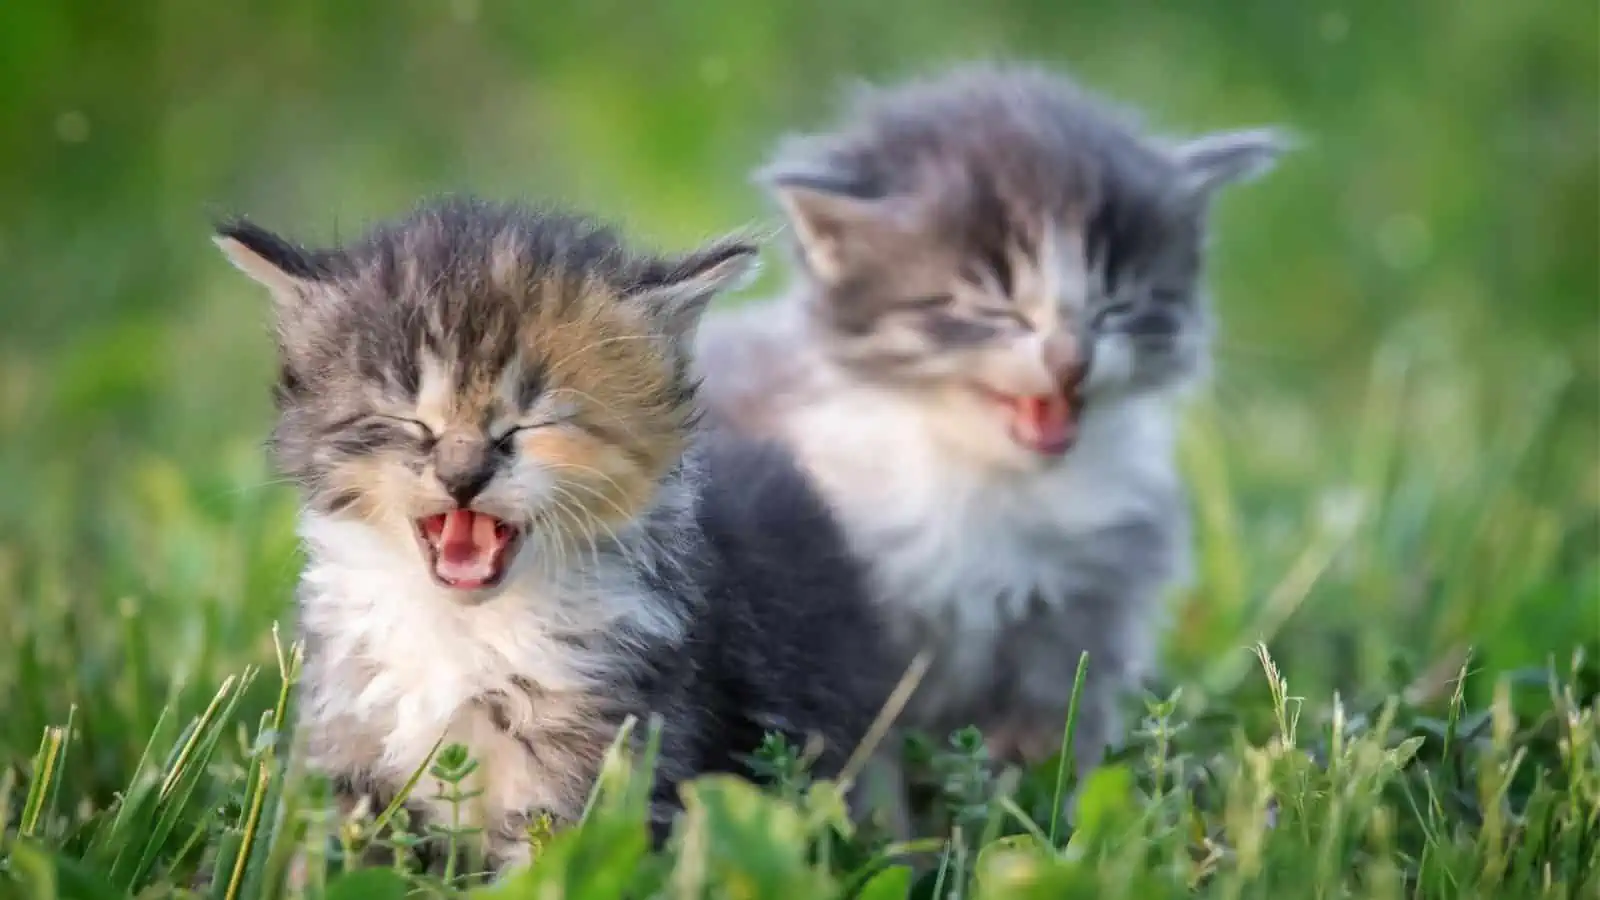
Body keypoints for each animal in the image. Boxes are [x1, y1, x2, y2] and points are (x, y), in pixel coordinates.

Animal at [217, 196, 902, 871]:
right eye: (412, 422)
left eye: (525, 426)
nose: (462, 478)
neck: (463, 629)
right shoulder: (345, 740)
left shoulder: (602, 762)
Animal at [700, 64, 1286, 813]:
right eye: (993, 307)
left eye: (1117, 304)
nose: (1071, 358)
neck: (990, 484)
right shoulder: (842, 615)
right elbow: (865, 752)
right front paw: (889, 835)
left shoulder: (1081, 617)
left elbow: (1059, 735)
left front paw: (1047, 809)